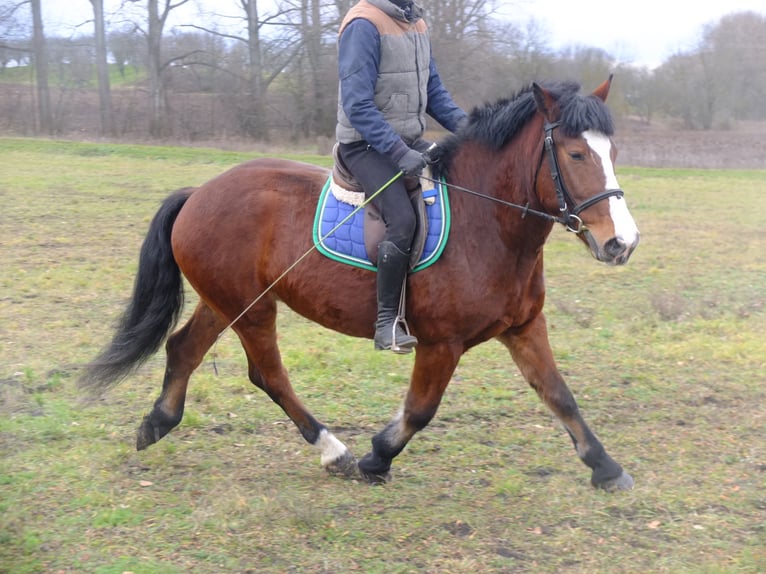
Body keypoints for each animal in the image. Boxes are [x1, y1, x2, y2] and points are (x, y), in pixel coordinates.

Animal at [81, 75, 640, 490]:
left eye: (613, 151)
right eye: (575, 155)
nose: (622, 243)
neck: (487, 222)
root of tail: (199, 192)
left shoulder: (523, 328)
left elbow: (559, 395)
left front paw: (606, 468)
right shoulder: (441, 342)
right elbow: (420, 410)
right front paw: (377, 458)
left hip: (226, 301)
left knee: (184, 348)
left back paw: (157, 422)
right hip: (252, 308)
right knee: (268, 375)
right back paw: (335, 451)